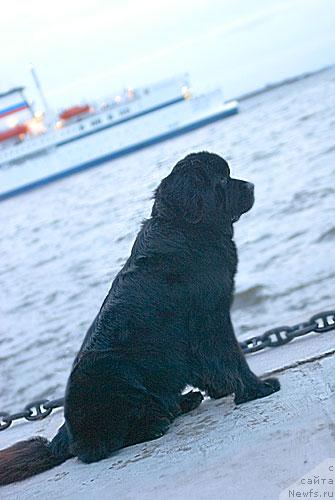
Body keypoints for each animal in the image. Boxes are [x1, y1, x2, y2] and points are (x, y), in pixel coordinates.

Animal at [0, 151, 280, 484]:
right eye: (223, 180)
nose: (251, 186)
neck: (188, 229)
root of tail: (63, 436)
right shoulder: (211, 318)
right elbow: (232, 358)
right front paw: (257, 389)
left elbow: (211, 366)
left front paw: (224, 391)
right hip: (111, 379)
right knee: (93, 449)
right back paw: (154, 425)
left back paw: (182, 403)